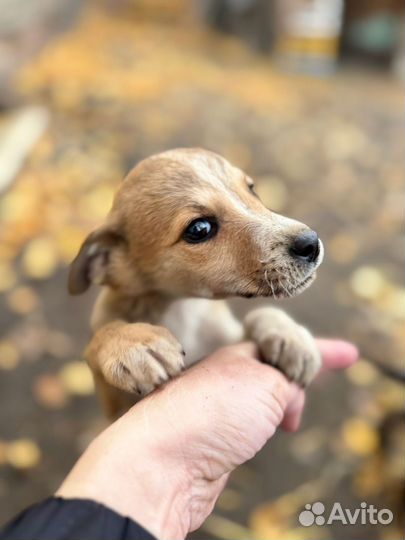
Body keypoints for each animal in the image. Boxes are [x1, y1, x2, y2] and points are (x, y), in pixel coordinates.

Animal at [68, 148, 324, 418]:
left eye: (251, 188)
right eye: (200, 228)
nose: (311, 243)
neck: (183, 309)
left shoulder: (230, 339)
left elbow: (262, 313)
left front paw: (290, 337)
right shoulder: (115, 403)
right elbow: (101, 336)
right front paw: (134, 344)